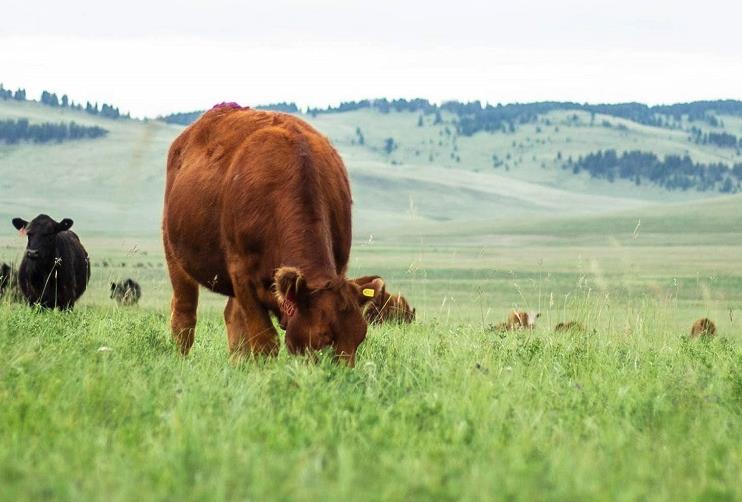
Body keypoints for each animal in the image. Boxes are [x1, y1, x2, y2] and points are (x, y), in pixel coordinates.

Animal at [165, 105, 380, 364]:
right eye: (322, 337)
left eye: (360, 337)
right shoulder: (242, 273)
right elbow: (264, 339)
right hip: (174, 252)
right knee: (184, 314)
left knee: (232, 317)